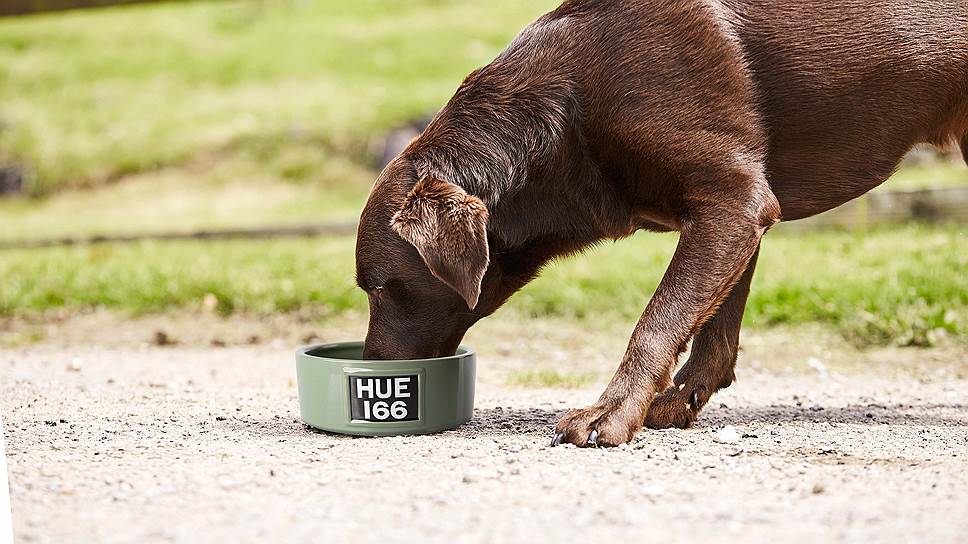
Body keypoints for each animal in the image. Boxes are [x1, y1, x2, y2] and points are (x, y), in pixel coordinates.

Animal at [358, 0, 968, 446]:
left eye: (381, 290)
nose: (370, 372)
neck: (566, 116)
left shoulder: (733, 199)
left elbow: (658, 320)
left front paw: (610, 413)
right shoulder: (736, 212)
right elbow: (714, 332)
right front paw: (672, 403)